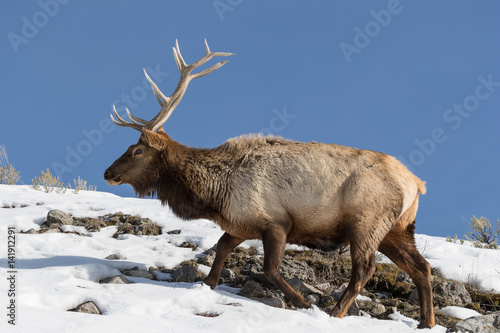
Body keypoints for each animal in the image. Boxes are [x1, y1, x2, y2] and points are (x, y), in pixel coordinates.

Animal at [104, 40, 434, 328]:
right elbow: (221, 248)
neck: (213, 195)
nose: (108, 172)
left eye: (137, 150)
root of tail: (416, 183)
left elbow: (270, 269)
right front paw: (207, 284)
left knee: (365, 269)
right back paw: (426, 322)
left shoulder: (276, 222)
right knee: (422, 267)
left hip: (366, 221)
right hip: (397, 228)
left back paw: (336, 312)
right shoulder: (241, 224)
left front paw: (303, 303)